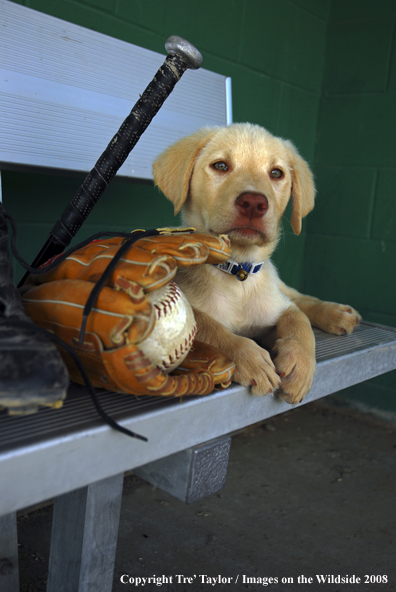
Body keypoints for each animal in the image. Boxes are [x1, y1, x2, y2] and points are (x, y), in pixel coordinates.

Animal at [152, 123, 362, 402]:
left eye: (276, 173)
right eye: (220, 166)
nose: (253, 202)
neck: (238, 271)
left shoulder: (275, 309)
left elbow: (298, 321)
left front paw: (300, 365)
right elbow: (209, 326)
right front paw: (250, 359)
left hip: (277, 288)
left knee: (298, 299)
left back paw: (336, 313)